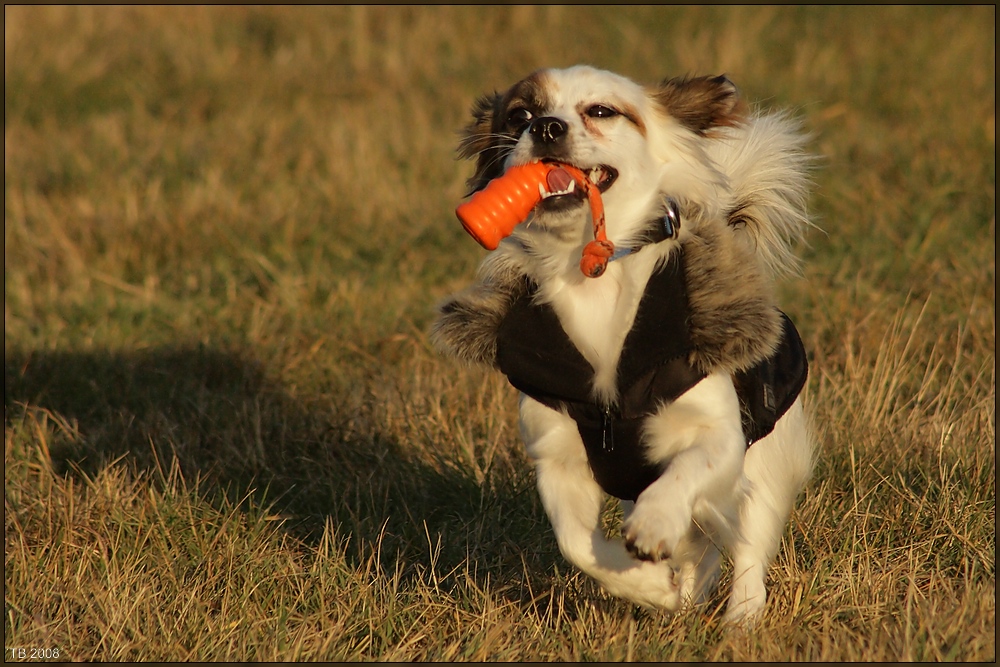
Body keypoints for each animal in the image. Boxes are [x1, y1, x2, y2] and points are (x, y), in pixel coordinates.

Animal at [430, 65, 812, 624]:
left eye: (601, 111)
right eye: (519, 114)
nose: (546, 126)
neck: (591, 272)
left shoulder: (720, 435)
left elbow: (687, 471)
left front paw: (654, 528)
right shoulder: (557, 457)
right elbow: (577, 543)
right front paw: (650, 587)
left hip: (763, 469)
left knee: (746, 545)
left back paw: (741, 619)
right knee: (704, 550)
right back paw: (685, 596)